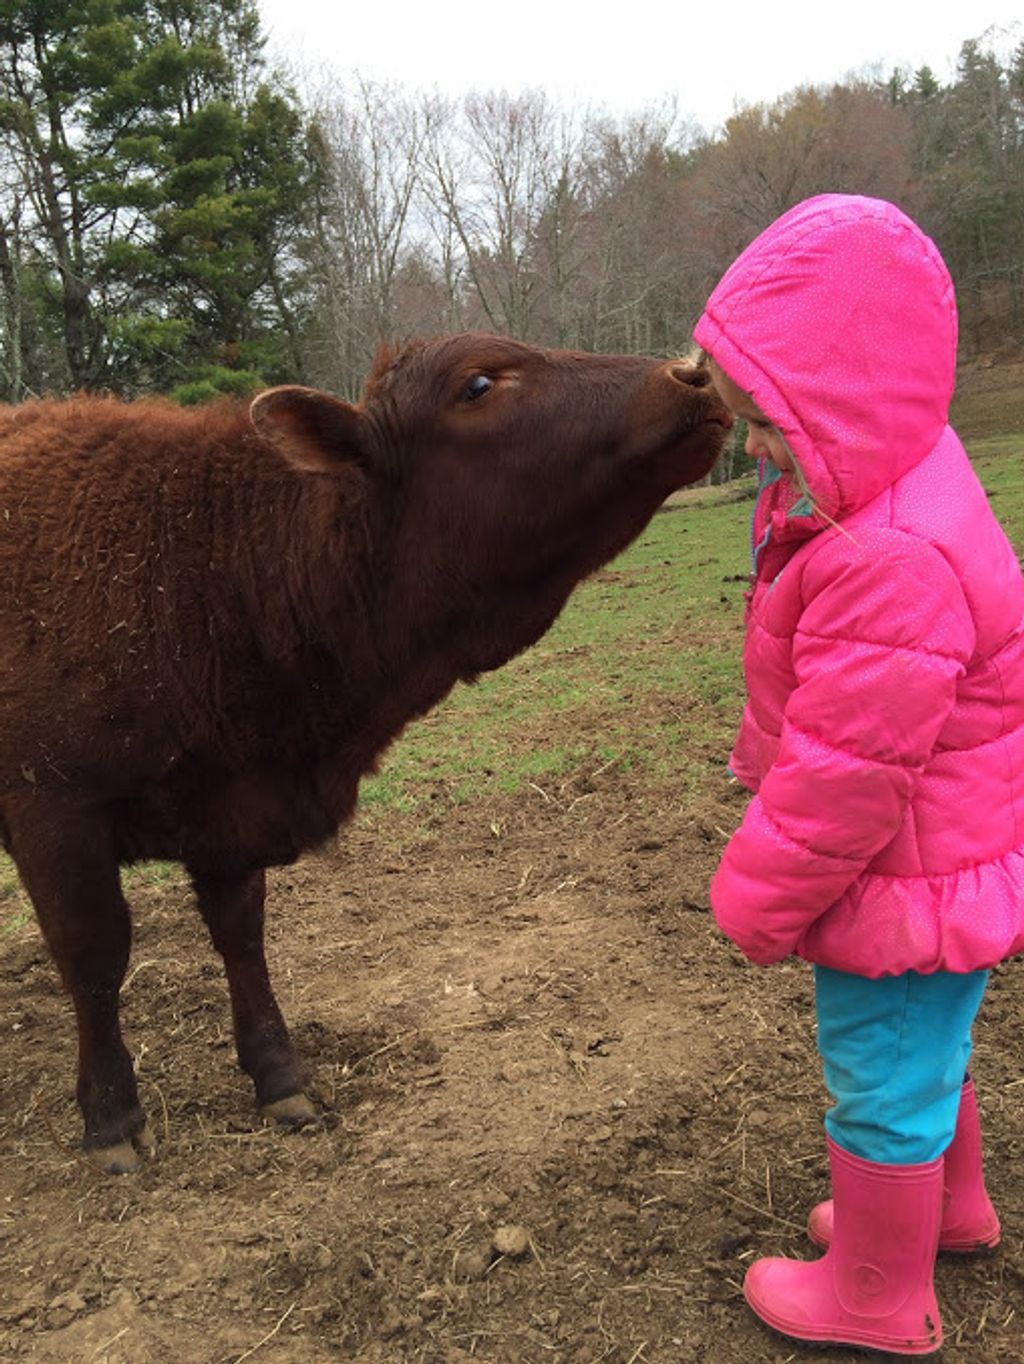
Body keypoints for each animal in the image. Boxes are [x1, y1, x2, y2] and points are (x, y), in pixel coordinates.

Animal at [0, 332, 730, 1173]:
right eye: (477, 384)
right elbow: (93, 958)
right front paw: (111, 1117)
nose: (691, 371)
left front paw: (279, 1075)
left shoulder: (230, 804)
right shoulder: (55, 812)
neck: (202, 566)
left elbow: (240, 935)